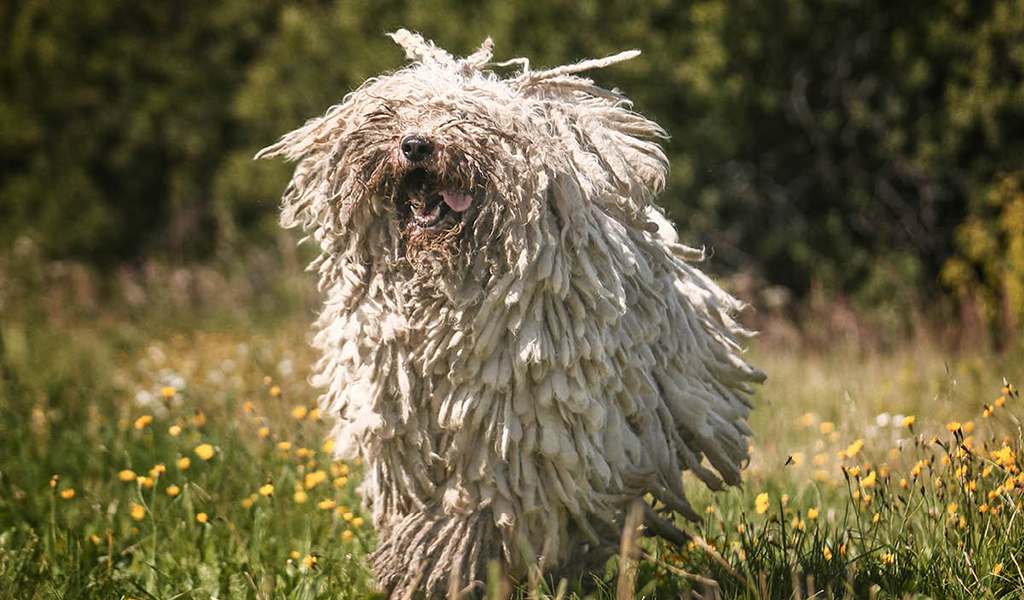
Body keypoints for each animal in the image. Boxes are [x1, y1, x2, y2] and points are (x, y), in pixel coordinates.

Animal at [260, 30, 765, 593]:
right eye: (396, 112)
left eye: (470, 119)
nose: (415, 144)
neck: (443, 295)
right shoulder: (396, 417)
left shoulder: (511, 431)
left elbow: (475, 505)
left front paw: (435, 563)